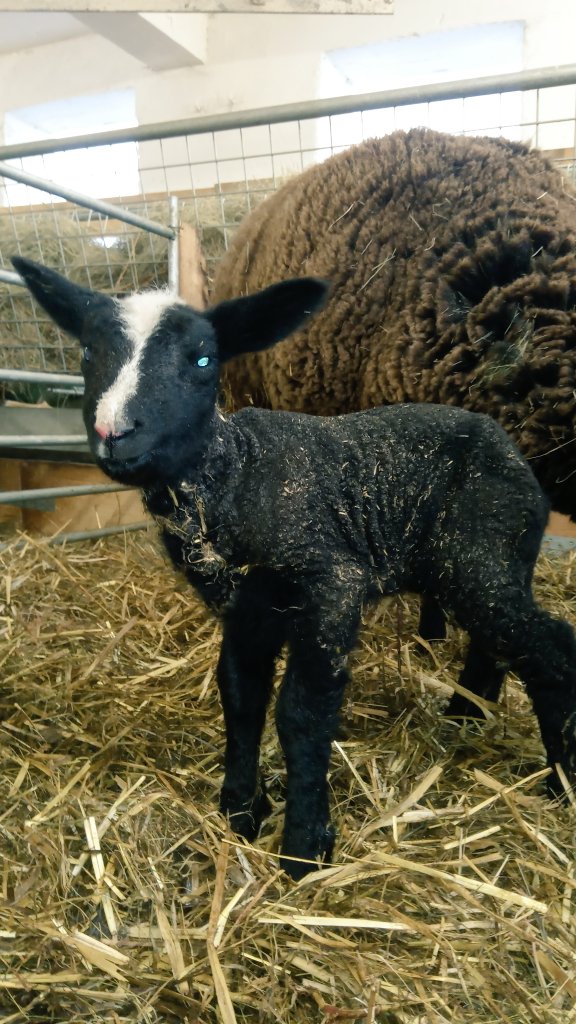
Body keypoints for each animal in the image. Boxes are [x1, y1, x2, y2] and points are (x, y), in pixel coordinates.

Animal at [13, 255, 576, 880]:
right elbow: (240, 696)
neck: (232, 476)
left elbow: (303, 712)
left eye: (203, 359)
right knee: (497, 641)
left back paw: (560, 781)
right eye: (89, 352)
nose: (115, 432)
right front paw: (240, 810)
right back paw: (463, 719)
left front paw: (305, 846)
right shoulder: (245, 608)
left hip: (477, 551)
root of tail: (518, 460)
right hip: (482, 561)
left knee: (550, 644)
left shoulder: (330, 584)